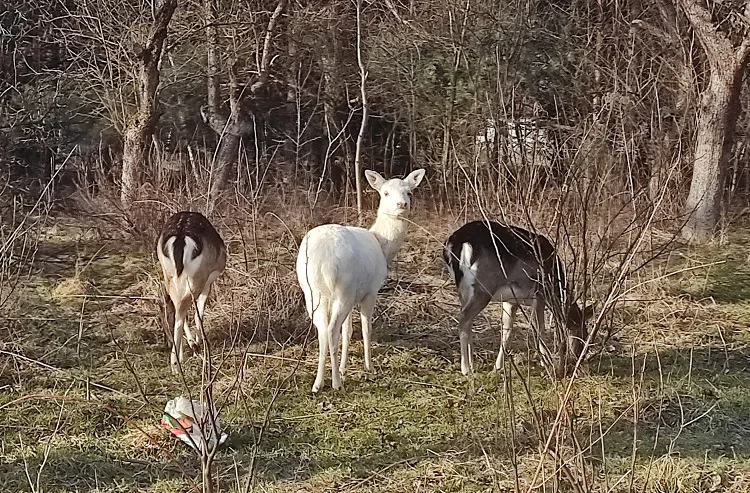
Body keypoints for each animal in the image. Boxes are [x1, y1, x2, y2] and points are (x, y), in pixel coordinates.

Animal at [300, 169, 428, 392]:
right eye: (385, 193)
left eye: (409, 192)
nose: (402, 204)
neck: (383, 245)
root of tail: (323, 261)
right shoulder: (370, 291)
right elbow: (366, 329)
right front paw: (369, 367)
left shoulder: (354, 295)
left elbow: (348, 330)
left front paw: (344, 368)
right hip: (343, 287)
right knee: (331, 330)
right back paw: (336, 383)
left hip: (313, 292)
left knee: (323, 330)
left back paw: (318, 383)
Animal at [440, 219, 592, 376]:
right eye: (583, 337)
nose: (577, 360)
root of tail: (456, 243)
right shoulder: (539, 294)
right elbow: (539, 328)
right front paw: (547, 363)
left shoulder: (510, 301)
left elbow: (507, 331)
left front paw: (498, 367)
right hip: (483, 287)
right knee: (464, 319)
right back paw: (466, 369)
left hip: (463, 290)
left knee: (467, 320)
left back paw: (472, 365)